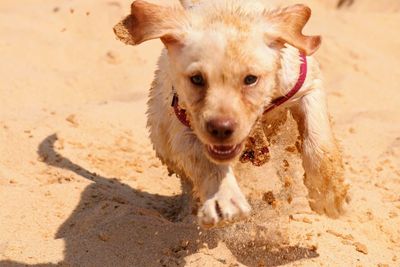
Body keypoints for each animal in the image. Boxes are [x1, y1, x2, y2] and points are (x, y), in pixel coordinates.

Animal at [114, 0, 348, 228]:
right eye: (197, 79)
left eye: (251, 79)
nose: (221, 128)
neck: (227, 11)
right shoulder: (183, 130)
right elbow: (209, 165)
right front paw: (225, 200)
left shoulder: (306, 84)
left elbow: (319, 142)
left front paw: (328, 196)